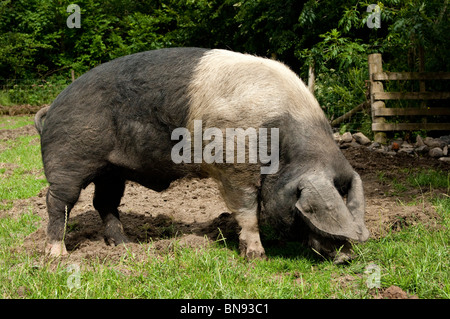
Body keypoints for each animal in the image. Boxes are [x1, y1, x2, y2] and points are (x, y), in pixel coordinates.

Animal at [33, 47, 368, 262]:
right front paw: (257, 257)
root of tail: (53, 104)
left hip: (112, 170)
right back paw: (57, 255)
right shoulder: (235, 166)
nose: (346, 258)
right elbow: (247, 210)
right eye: (308, 212)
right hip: (68, 160)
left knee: (104, 202)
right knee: (59, 201)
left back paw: (125, 246)